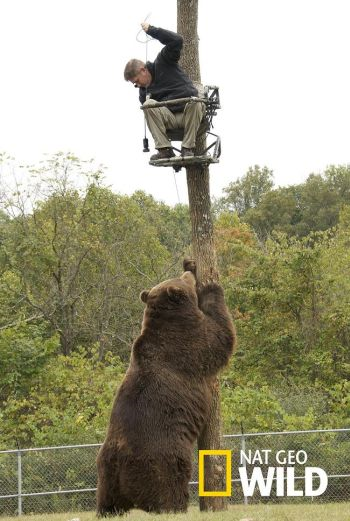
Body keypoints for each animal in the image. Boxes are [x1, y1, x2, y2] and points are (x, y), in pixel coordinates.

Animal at [96, 262, 235, 512]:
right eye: (185, 280)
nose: (189, 271)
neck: (172, 317)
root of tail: (121, 465)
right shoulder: (188, 343)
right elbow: (220, 336)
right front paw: (211, 286)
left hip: (106, 471)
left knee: (106, 499)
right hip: (161, 457)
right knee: (169, 485)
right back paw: (176, 507)